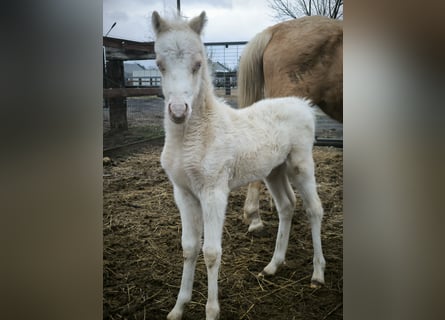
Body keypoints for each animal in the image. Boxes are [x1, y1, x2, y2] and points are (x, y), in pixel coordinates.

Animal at [151, 10, 324, 320]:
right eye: (159, 64)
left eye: (198, 64)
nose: (179, 111)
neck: (193, 137)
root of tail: (302, 104)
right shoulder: (183, 193)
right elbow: (189, 247)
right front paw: (178, 307)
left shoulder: (214, 192)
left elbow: (211, 252)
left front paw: (211, 310)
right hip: (274, 171)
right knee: (287, 206)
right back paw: (273, 265)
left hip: (301, 164)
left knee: (314, 209)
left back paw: (317, 274)